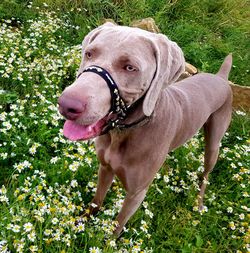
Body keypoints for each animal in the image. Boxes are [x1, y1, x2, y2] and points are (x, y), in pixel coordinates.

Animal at [58, 22, 232, 234]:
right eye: (89, 53)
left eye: (130, 67)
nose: (67, 105)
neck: (122, 132)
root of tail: (221, 77)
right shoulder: (105, 168)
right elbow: (96, 200)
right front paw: (81, 223)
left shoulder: (136, 193)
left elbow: (117, 225)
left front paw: (107, 238)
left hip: (214, 143)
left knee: (206, 174)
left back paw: (199, 204)